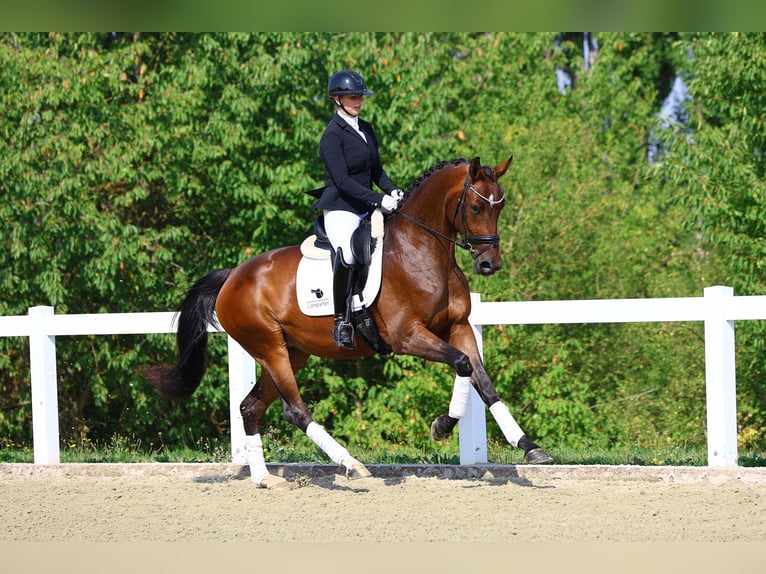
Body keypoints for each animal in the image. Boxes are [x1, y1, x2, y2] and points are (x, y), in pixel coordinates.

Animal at [142, 155, 552, 488]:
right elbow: (463, 364)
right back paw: (350, 464)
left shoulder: (459, 327)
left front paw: (529, 446)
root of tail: (231, 277)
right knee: (294, 409)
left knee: (250, 407)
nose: (489, 264)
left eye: (500, 206)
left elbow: (483, 381)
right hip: (269, 347)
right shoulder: (407, 336)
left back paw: (264, 479)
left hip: (292, 351)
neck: (422, 249)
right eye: (475, 207)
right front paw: (443, 425)